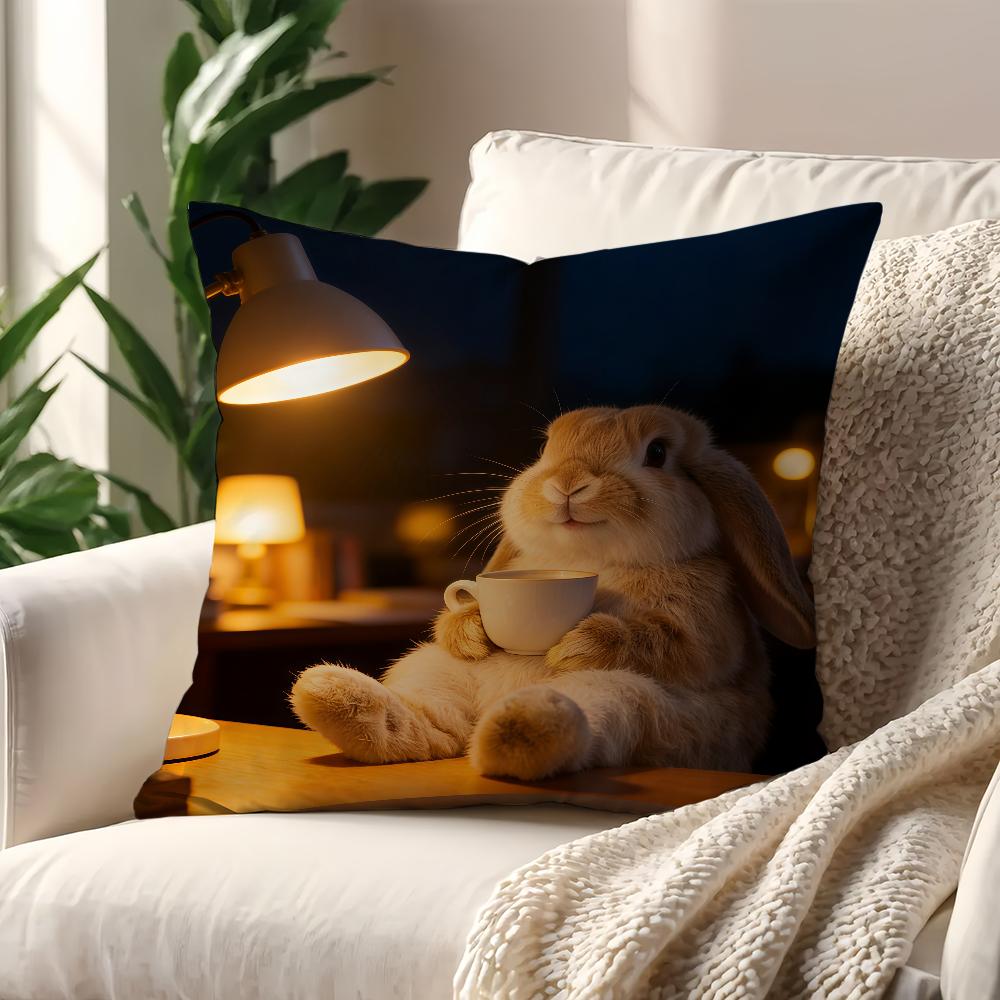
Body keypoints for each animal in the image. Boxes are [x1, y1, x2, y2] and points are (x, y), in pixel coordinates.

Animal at [290, 405, 816, 779]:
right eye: (546, 447)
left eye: (658, 453)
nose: (567, 483)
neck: (586, 563)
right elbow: (459, 612)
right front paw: (471, 633)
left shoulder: (706, 613)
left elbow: (680, 646)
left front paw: (575, 646)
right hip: (434, 672)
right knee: (434, 721)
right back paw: (338, 699)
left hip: (637, 703)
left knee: (585, 715)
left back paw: (515, 733)